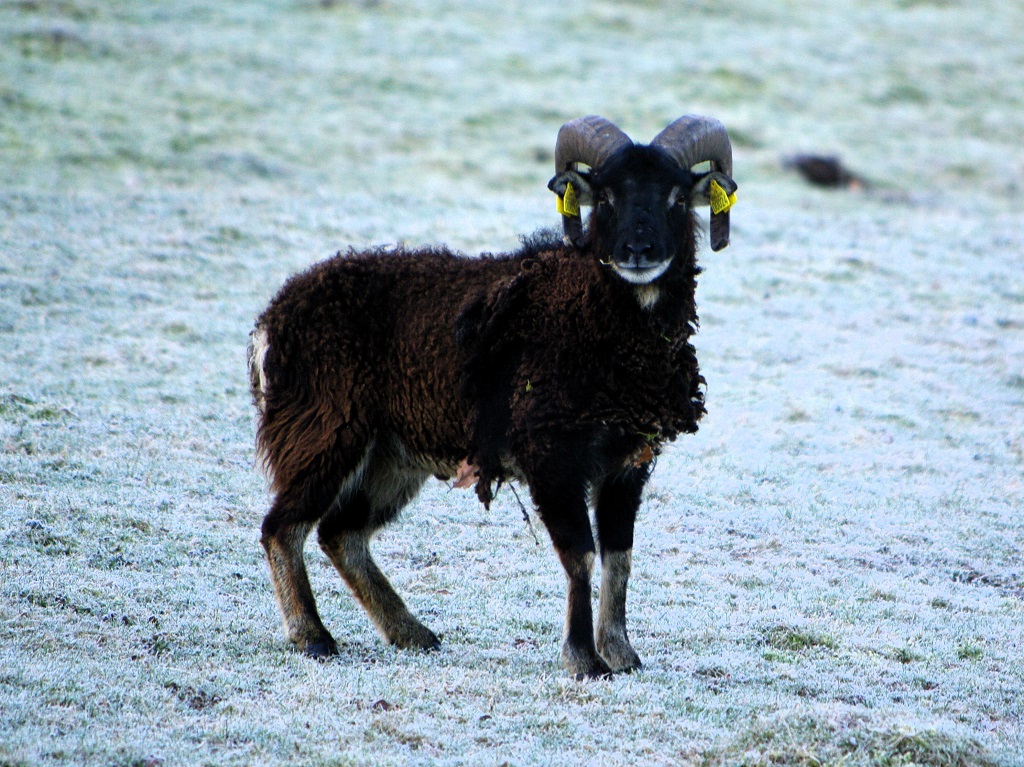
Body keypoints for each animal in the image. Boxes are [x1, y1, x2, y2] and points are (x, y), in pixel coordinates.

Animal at [248, 114, 737, 678]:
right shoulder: (552, 457)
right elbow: (580, 554)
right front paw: (583, 659)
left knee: (340, 534)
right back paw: (313, 636)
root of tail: (274, 317)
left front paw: (622, 654)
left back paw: (412, 633)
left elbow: (619, 556)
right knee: (283, 527)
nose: (637, 254)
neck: (592, 319)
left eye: (677, 197)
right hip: (325, 431)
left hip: (393, 457)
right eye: (606, 197)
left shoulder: (627, 463)